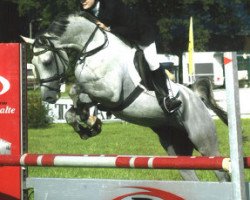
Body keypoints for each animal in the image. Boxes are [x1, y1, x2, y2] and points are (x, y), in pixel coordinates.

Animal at [22, 12, 230, 181]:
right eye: (33, 64)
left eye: (47, 61)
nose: (48, 97)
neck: (93, 50)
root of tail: (194, 95)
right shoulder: (100, 95)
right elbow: (72, 109)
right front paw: (87, 126)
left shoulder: (111, 94)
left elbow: (76, 90)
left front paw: (90, 121)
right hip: (176, 149)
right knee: (190, 175)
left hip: (204, 142)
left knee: (222, 173)